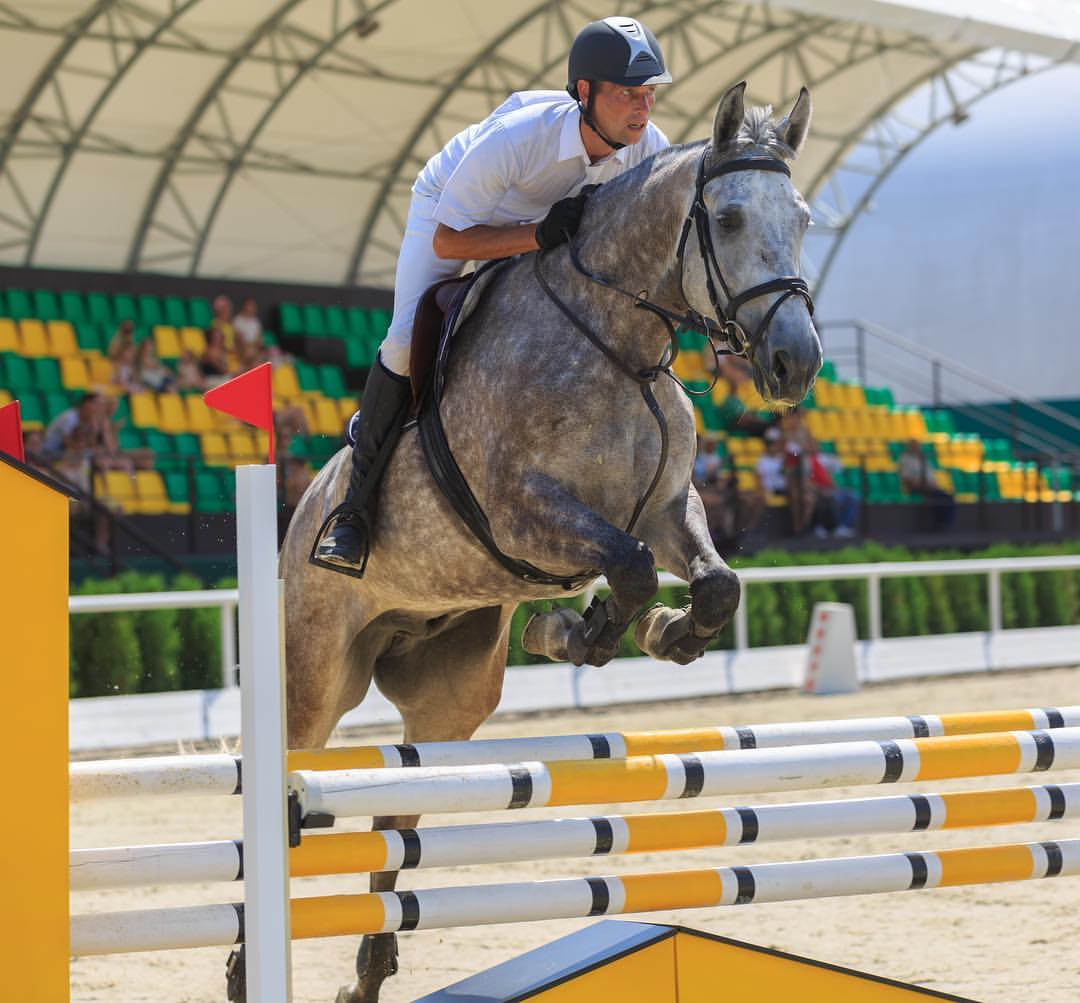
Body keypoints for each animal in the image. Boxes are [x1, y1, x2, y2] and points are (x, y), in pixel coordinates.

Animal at [278, 86, 816, 1001]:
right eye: (731, 217)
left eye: (805, 218)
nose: (796, 362)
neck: (617, 344)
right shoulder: (522, 510)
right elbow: (630, 568)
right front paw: (583, 627)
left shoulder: (666, 506)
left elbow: (713, 584)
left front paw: (646, 632)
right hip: (315, 674)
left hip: (451, 697)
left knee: (400, 816)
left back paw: (370, 970)